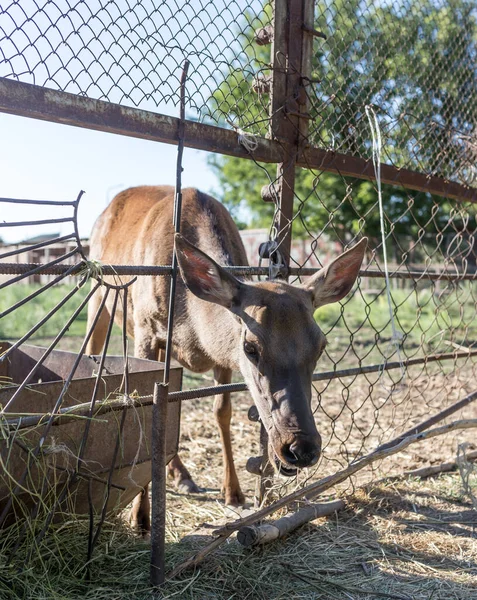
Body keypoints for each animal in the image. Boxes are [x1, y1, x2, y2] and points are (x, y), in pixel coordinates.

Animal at [85, 186, 366, 528]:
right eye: (250, 348)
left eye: (321, 346)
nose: (301, 447)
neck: (190, 320)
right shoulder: (145, 328)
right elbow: (146, 406)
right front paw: (140, 516)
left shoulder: (219, 355)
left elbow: (222, 411)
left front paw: (233, 492)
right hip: (99, 293)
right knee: (92, 349)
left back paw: (181, 475)